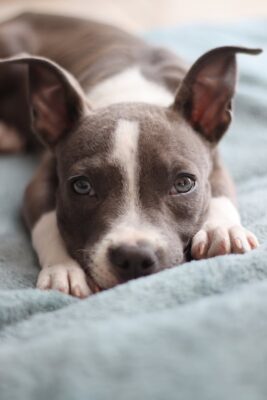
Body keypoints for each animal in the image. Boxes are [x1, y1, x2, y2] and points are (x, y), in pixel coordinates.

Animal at [0, 11, 262, 296]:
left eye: (184, 183)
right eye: (81, 186)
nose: (134, 257)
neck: (132, 94)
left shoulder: (215, 161)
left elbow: (222, 194)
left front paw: (221, 230)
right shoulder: (40, 181)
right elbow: (47, 222)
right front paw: (63, 269)